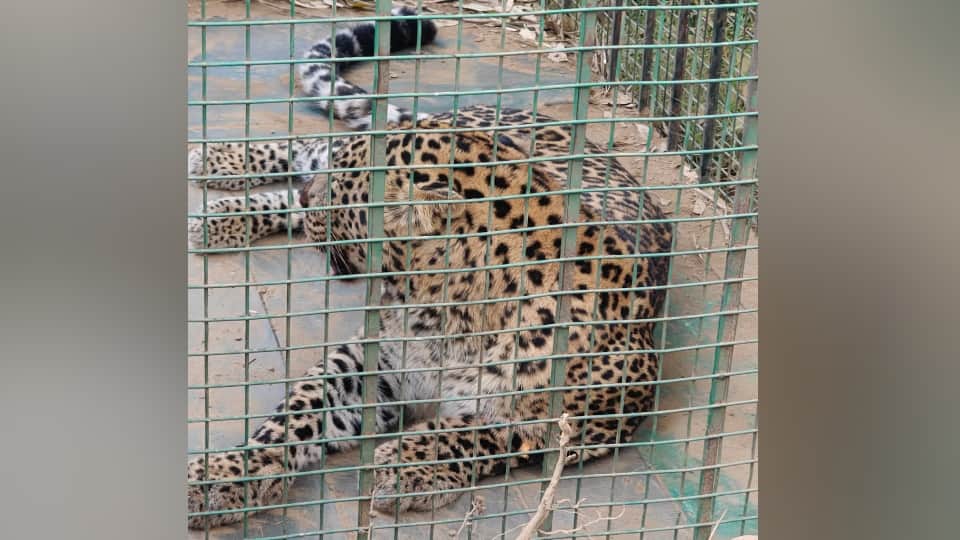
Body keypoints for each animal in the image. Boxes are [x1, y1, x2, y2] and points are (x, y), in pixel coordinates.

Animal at [186, 6, 673, 529]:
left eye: (342, 187)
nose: (310, 196)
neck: (443, 310)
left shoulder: (608, 410)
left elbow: (494, 430)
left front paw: (408, 463)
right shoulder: (369, 362)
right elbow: (298, 409)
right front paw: (223, 474)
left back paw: (223, 213)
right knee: (307, 147)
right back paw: (217, 169)